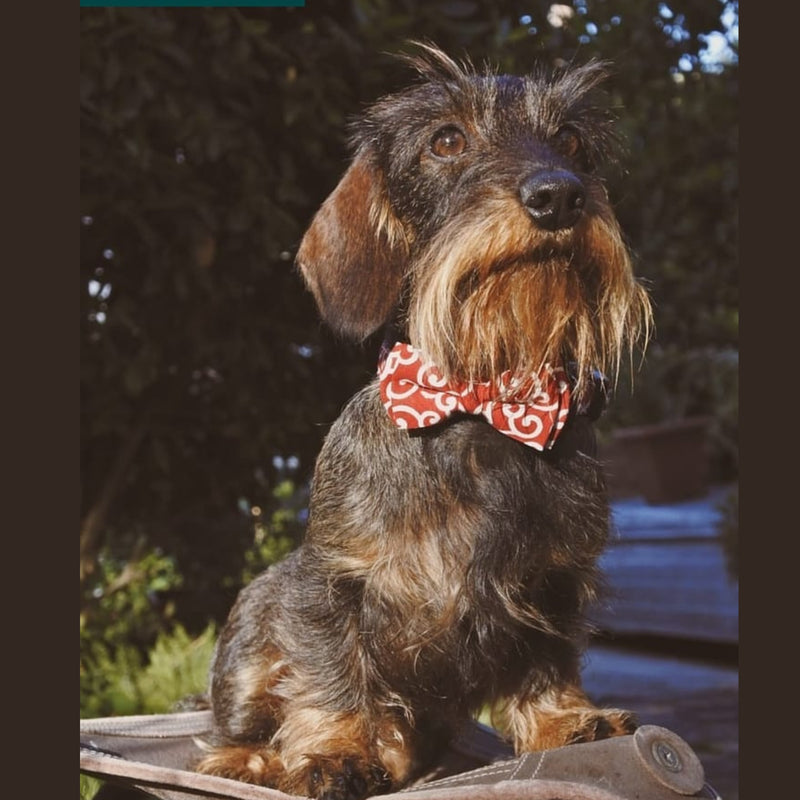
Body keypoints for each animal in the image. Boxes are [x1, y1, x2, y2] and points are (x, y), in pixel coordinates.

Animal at [197, 43, 652, 800]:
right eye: (446, 140)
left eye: (570, 141)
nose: (559, 194)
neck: (483, 404)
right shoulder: (332, 581)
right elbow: (332, 672)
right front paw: (334, 751)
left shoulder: (555, 579)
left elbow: (549, 657)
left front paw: (564, 722)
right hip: (259, 613)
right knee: (240, 721)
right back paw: (251, 758)